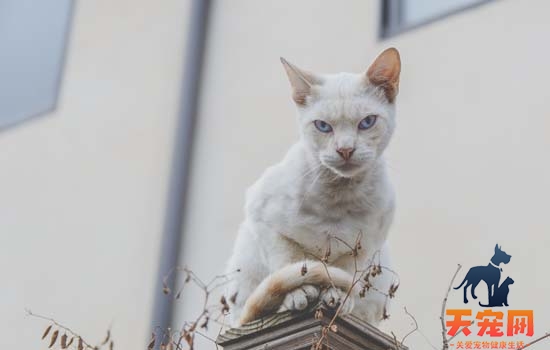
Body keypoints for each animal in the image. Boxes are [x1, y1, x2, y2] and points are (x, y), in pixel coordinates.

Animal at [223, 47, 402, 328]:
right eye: (322, 126)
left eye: (367, 122)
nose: (345, 150)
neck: (337, 198)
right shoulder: (265, 223)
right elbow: (290, 264)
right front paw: (296, 294)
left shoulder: (365, 246)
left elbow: (344, 274)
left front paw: (337, 297)